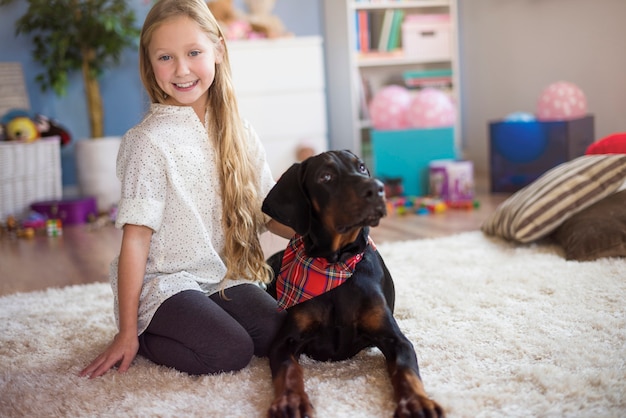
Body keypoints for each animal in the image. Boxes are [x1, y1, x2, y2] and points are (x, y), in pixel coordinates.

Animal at [260, 150, 442, 418]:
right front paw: (291, 401)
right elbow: (289, 370)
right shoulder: (285, 342)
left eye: (362, 167)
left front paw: (417, 402)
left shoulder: (395, 339)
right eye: (325, 176)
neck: (336, 264)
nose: (377, 189)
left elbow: (406, 369)